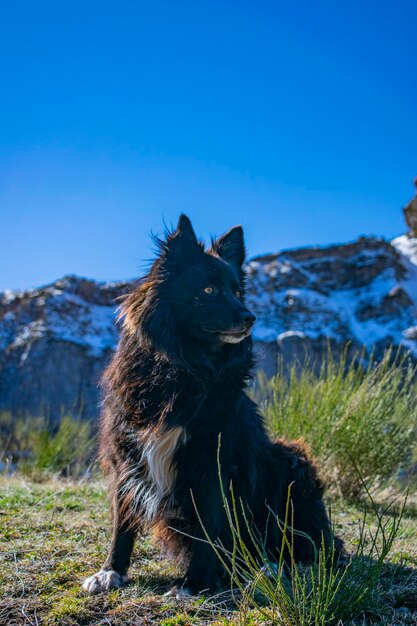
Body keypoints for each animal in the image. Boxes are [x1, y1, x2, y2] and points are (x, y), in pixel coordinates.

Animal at [82, 214, 338, 596]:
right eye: (208, 290)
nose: (250, 318)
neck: (184, 367)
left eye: (236, 291)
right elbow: (122, 521)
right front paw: (110, 571)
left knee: (306, 544)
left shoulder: (214, 460)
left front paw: (193, 585)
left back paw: (269, 566)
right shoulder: (127, 454)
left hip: (291, 462)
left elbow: (208, 524)